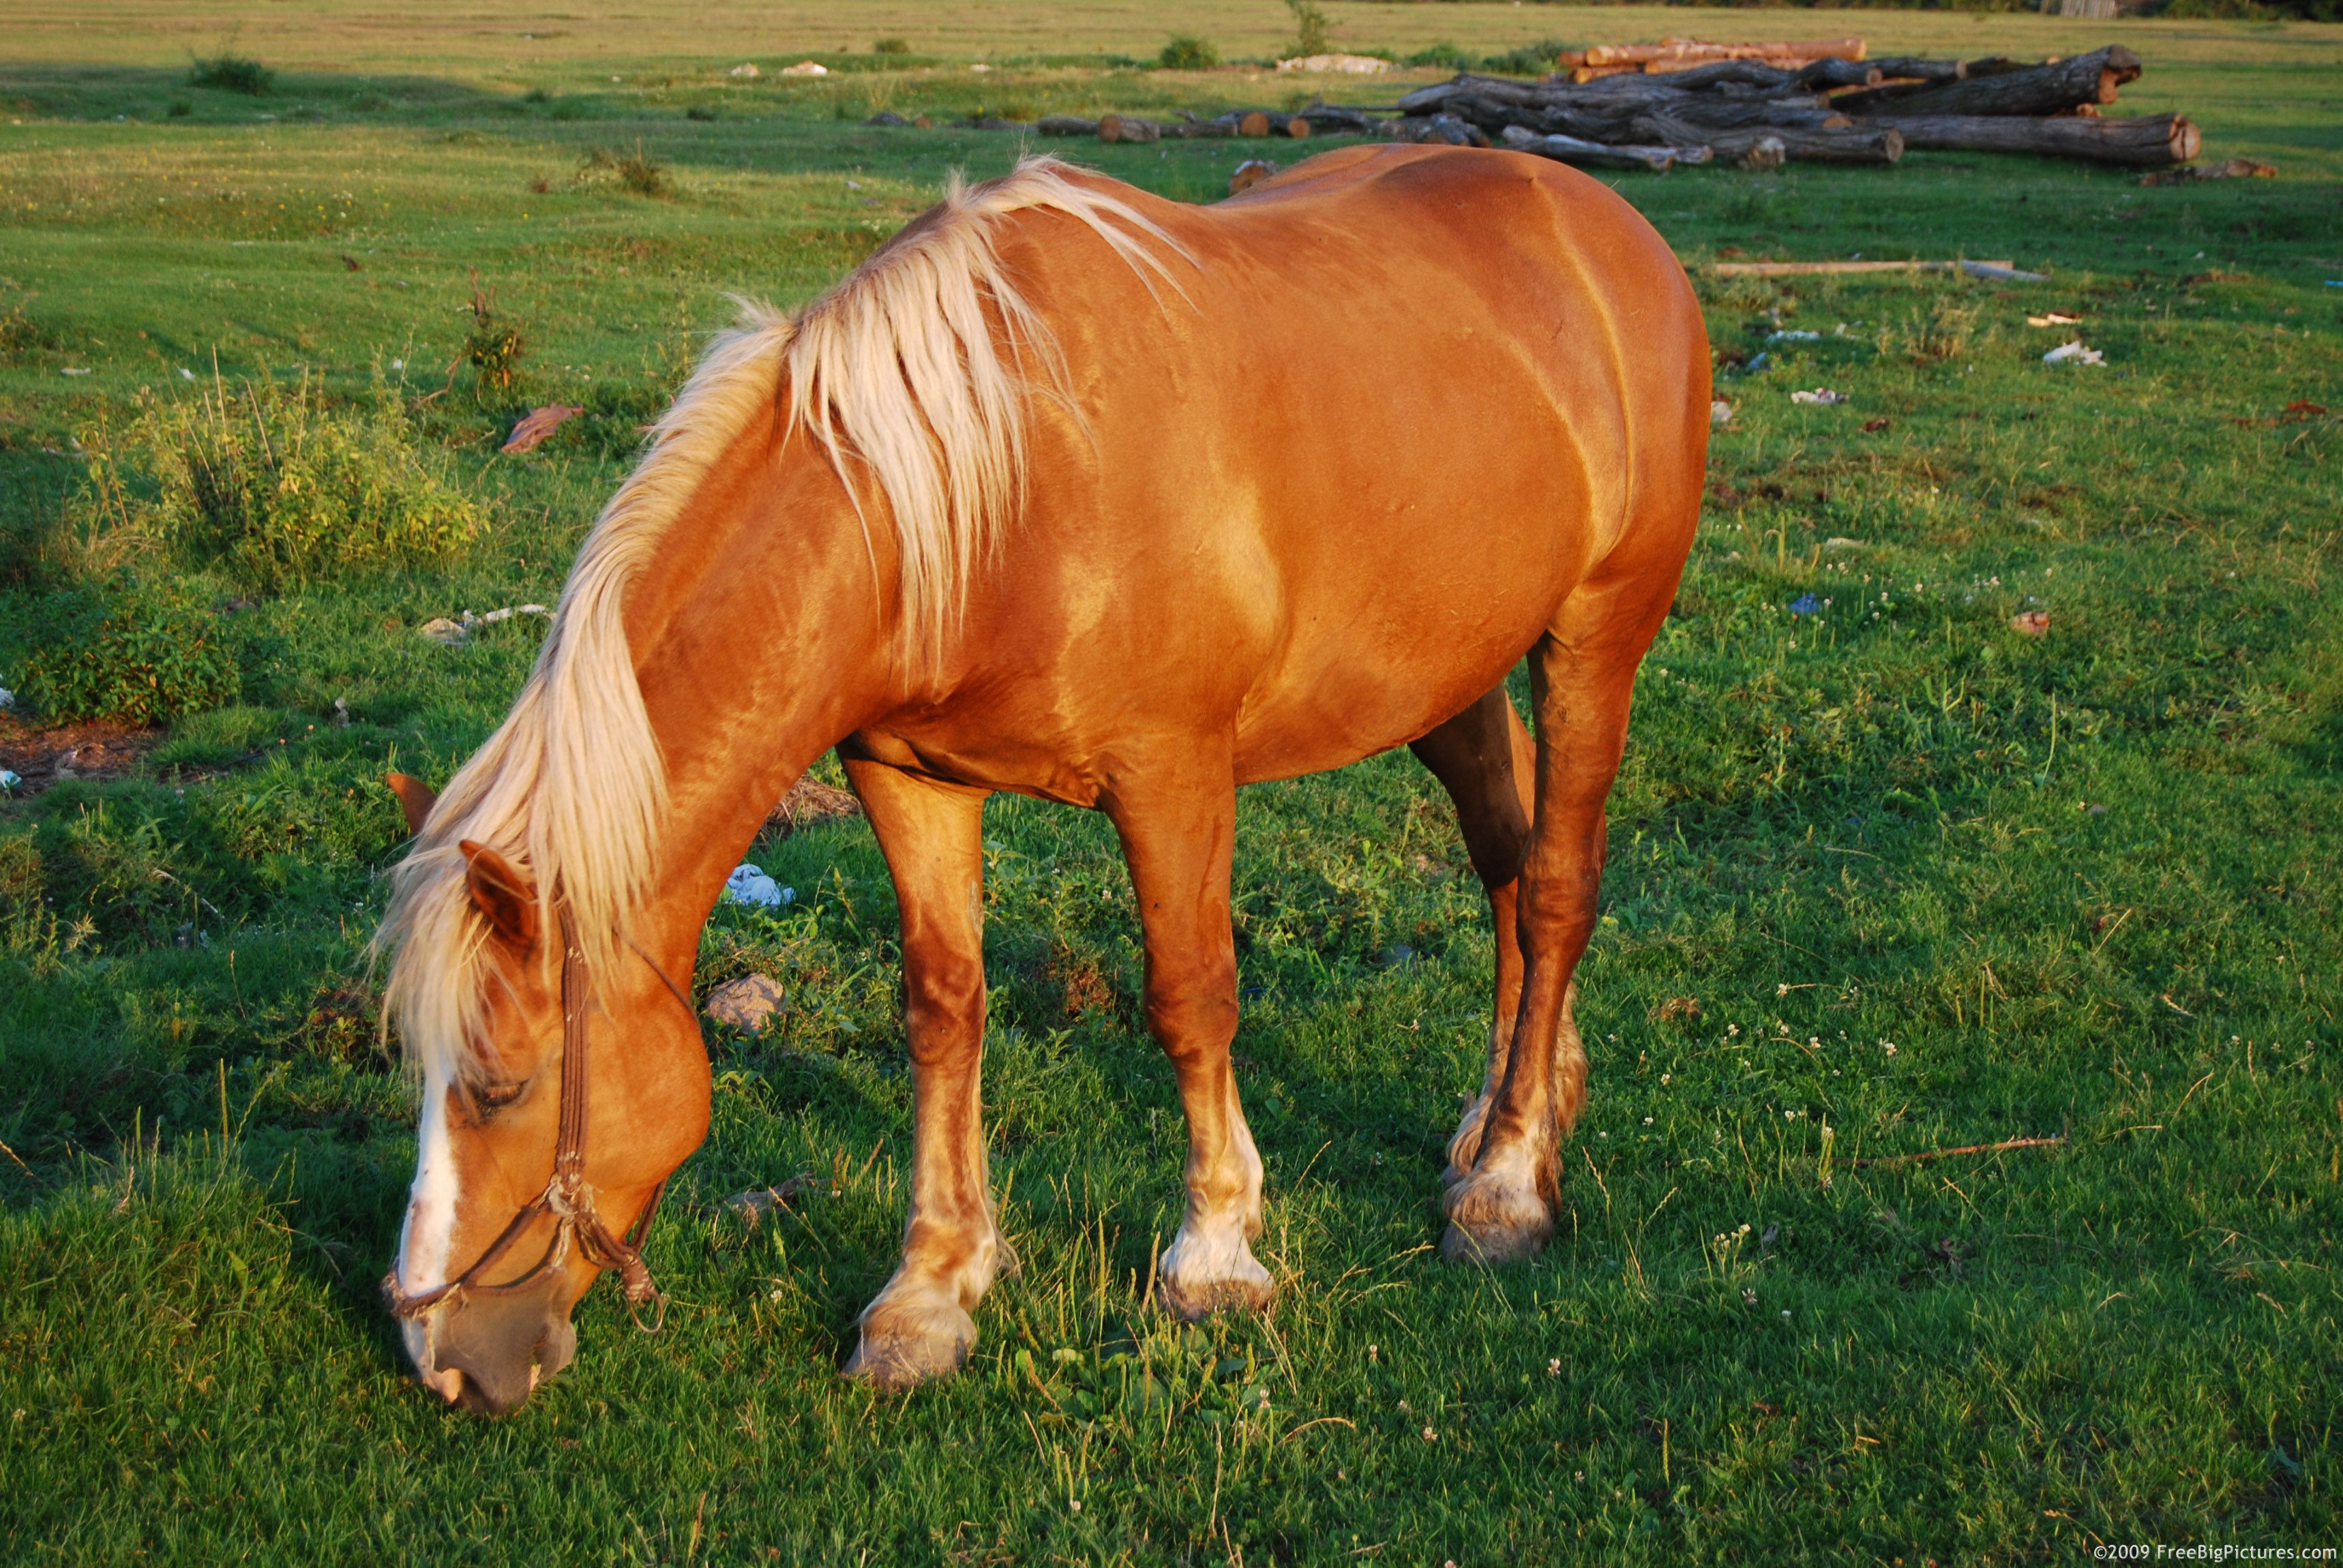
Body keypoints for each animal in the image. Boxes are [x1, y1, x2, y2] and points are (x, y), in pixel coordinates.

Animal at [374, 146, 1708, 1413]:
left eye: (498, 1086)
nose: (440, 1358)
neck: (994, 477)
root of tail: (1604, 227)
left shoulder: (1171, 774)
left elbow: (1189, 999)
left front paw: (1214, 1252)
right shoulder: (903, 778)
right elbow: (942, 1012)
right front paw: (928, 1292)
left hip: (1593, 642)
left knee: (1556, 885)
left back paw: (1509, 1185)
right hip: (1449, 676)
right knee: (1507, 863)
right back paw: (1508, 1115)